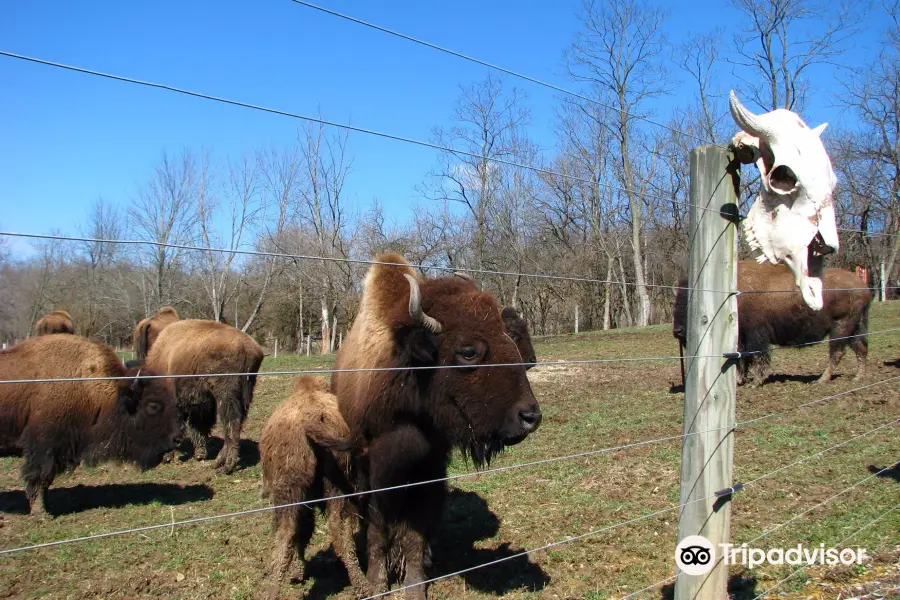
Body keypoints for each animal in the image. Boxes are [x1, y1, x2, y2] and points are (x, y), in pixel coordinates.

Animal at [134, 314, 264, 474]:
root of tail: (248, 348)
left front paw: (169, 457)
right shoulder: (202, 402)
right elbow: (198, 425)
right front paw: (200, 454)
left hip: (226, 395)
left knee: (231, 424)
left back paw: (227, 466)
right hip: (243, 395)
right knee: (236, 424)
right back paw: (219, 461)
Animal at [330, 251, 540, 596]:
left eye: (510, 341)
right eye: (468, 352)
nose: (530, 417)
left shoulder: (429, 468)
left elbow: (414, 533)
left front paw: (414, 586)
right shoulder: (374, 468)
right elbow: (378, 529)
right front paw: (377, 583)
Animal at [676, 260, 872, 386]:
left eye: (691, 304)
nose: (677, 330)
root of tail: (863, 287)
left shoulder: (755, 335)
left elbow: (756, 356)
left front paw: (755, 382)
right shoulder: (743, 338)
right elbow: (743, 358)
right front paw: (741, 380)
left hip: (840, 327)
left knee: (837, 352)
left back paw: (821, 380)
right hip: (855, 327)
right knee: (860, 349)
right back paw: (858, 377)